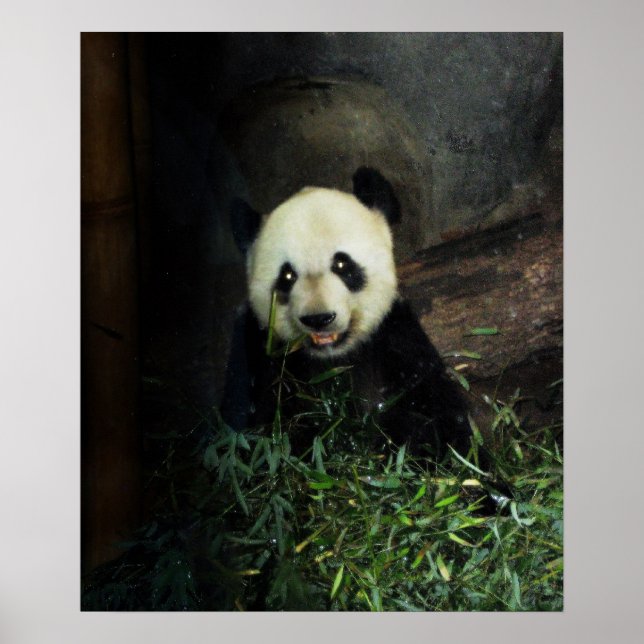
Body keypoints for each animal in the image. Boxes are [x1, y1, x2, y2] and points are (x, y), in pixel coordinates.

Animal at [222, 167, 472, 458]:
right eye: (287, 275)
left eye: (342, 264)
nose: (319, 319)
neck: (334, 358)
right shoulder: (259, 353)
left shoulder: (395, 340)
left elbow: (436, 416)